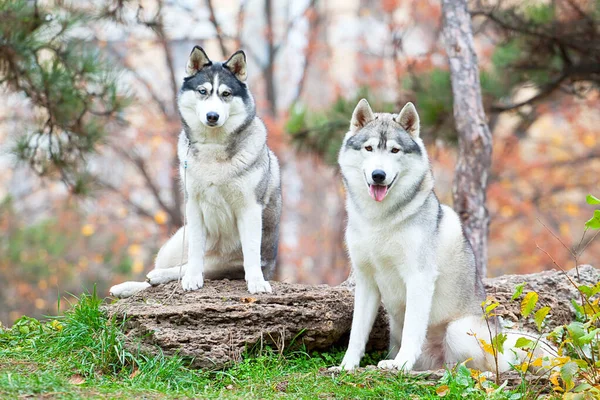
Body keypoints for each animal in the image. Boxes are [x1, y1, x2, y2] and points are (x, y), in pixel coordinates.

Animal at [109, 46, 282, 296]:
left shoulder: (249, 208)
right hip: (176, 242)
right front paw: (192, 279)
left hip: (222, 264)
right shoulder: (193, 205)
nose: (212, 116)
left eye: (226, 94)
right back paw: (132, 285)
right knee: (174, 267)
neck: (213, 147)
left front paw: (257, 283)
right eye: (203, 91)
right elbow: (194, 254)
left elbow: (250, 253)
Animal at [336, 99, 528, 372]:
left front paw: (402, 364)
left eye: (394, 150)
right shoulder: (365, 281)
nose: (378, 175)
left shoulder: (419, 277)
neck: (380, 220)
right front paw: (347, 367)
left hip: (457, 331)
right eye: (369, 148)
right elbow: (356, 333)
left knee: (477, 368)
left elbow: (413, 329)